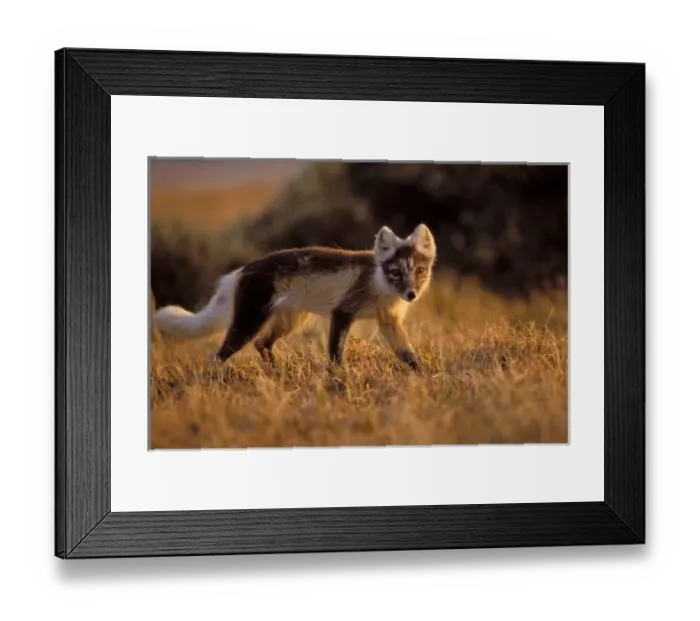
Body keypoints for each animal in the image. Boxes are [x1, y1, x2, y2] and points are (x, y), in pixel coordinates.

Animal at [153, 223, 437, 371]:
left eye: (420, 271)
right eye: (396, 272)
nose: (411, 294)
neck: (380, 286)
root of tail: (241, 271)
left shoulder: (388, 321)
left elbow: (407, 353)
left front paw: (421, 374)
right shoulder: (344, 310)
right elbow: (335, 352)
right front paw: (337, 378)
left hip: (290, 320)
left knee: (262, 344)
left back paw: (276, 370)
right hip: (248, 322)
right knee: (218, 355)